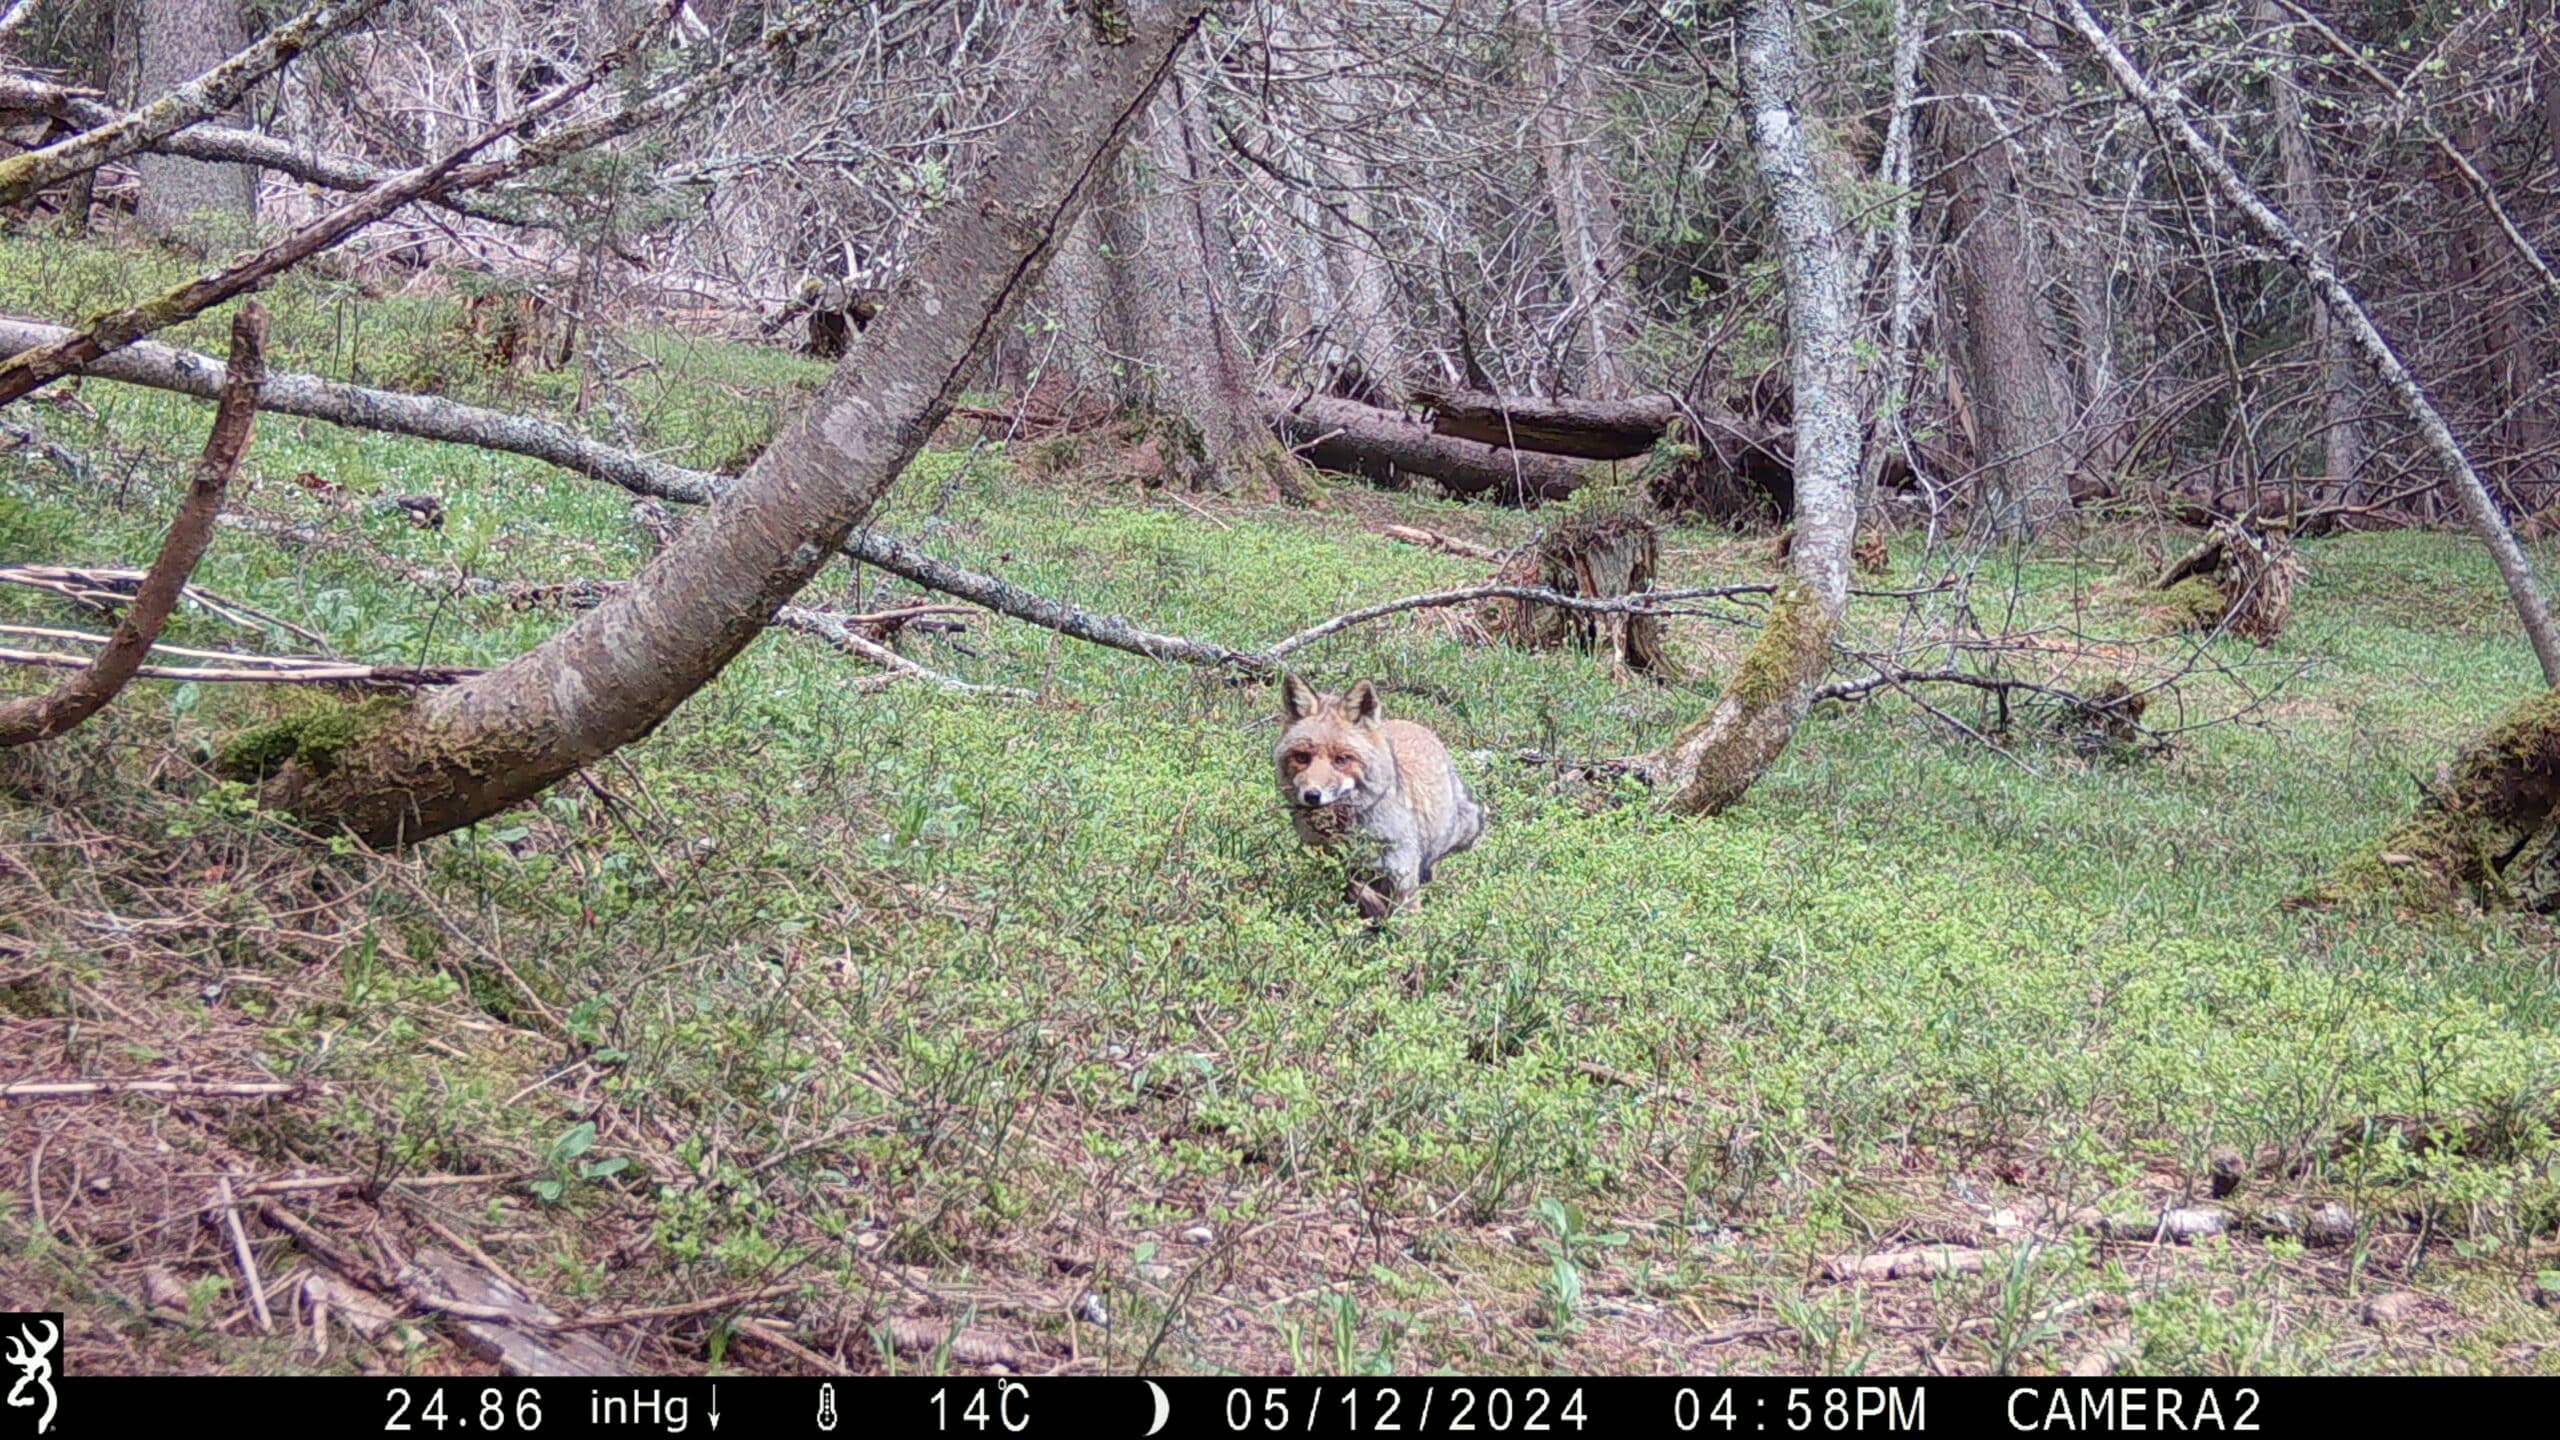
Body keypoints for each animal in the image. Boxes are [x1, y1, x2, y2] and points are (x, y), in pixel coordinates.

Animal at [1274, 671, 1495, 912]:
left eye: (1341, 759)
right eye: (1302, 757)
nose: (1312, 795)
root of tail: (1412, 724)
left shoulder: (1401, 868)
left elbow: (1406, 913)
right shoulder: (1332, 861)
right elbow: (1355, 890)